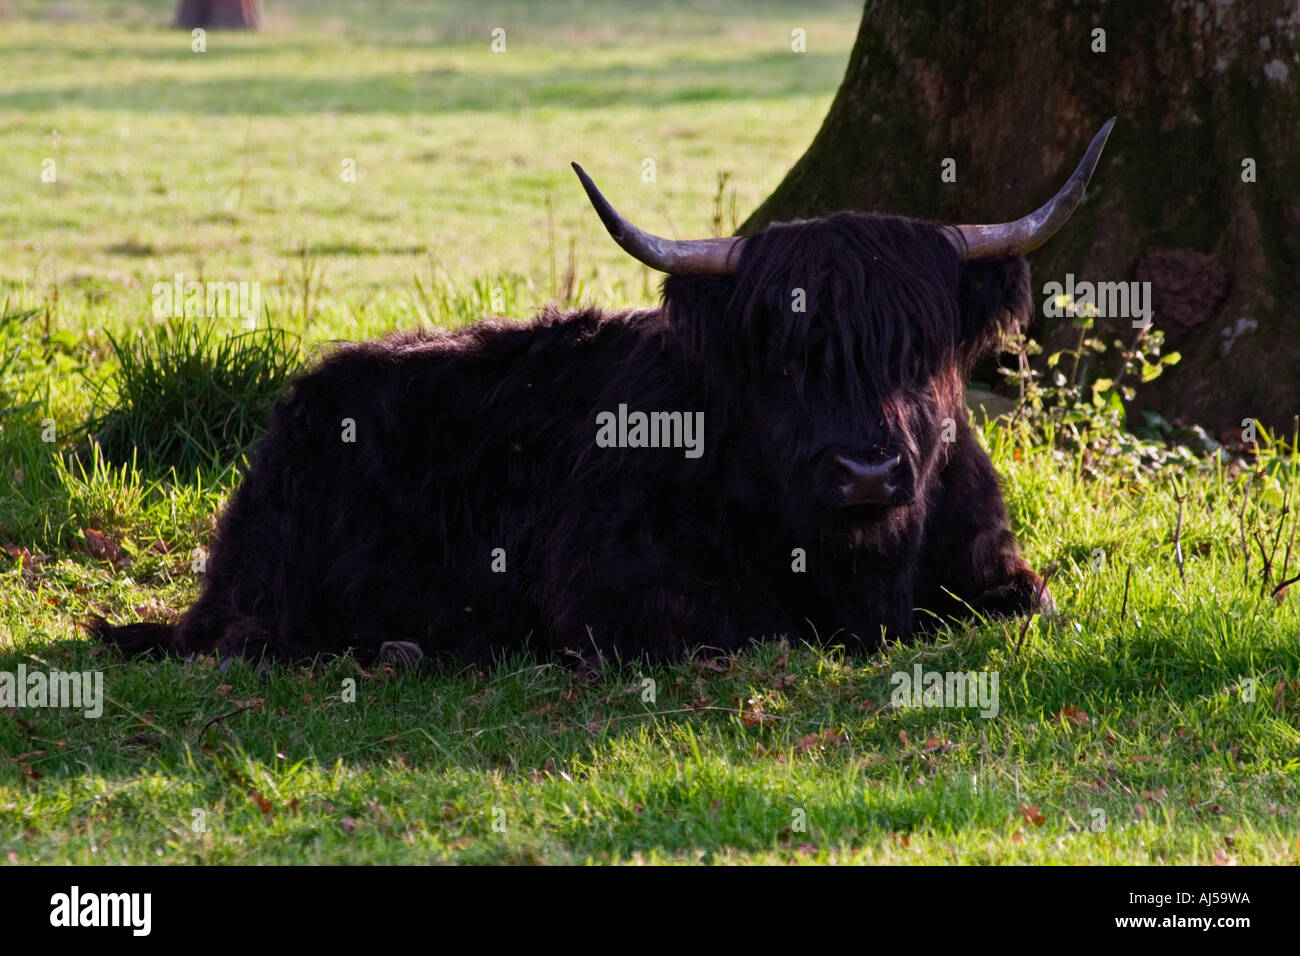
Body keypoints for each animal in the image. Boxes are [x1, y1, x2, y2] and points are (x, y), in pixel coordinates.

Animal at [92, 120, 1115, 665]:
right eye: (782, 356)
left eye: (920, 349)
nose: (866, 471)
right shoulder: (611, 588)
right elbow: (756, 629)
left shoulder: (993, 562)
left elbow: (1034, 600)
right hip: (268, 592)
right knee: (250, 636)